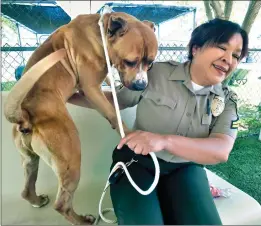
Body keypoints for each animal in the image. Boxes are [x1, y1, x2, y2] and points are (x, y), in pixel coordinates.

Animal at [4, 11, 157, 225]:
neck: (100, 33)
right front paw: (127, 133)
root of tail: (24, 115)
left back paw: (36, 200)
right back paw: (82, 220)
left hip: (29, 160)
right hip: (71, 160)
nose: (141, 85)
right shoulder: (91, 88)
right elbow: (111, 111)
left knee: (26, 189)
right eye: (130, 62)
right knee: (62, 204)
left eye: (150, 63)